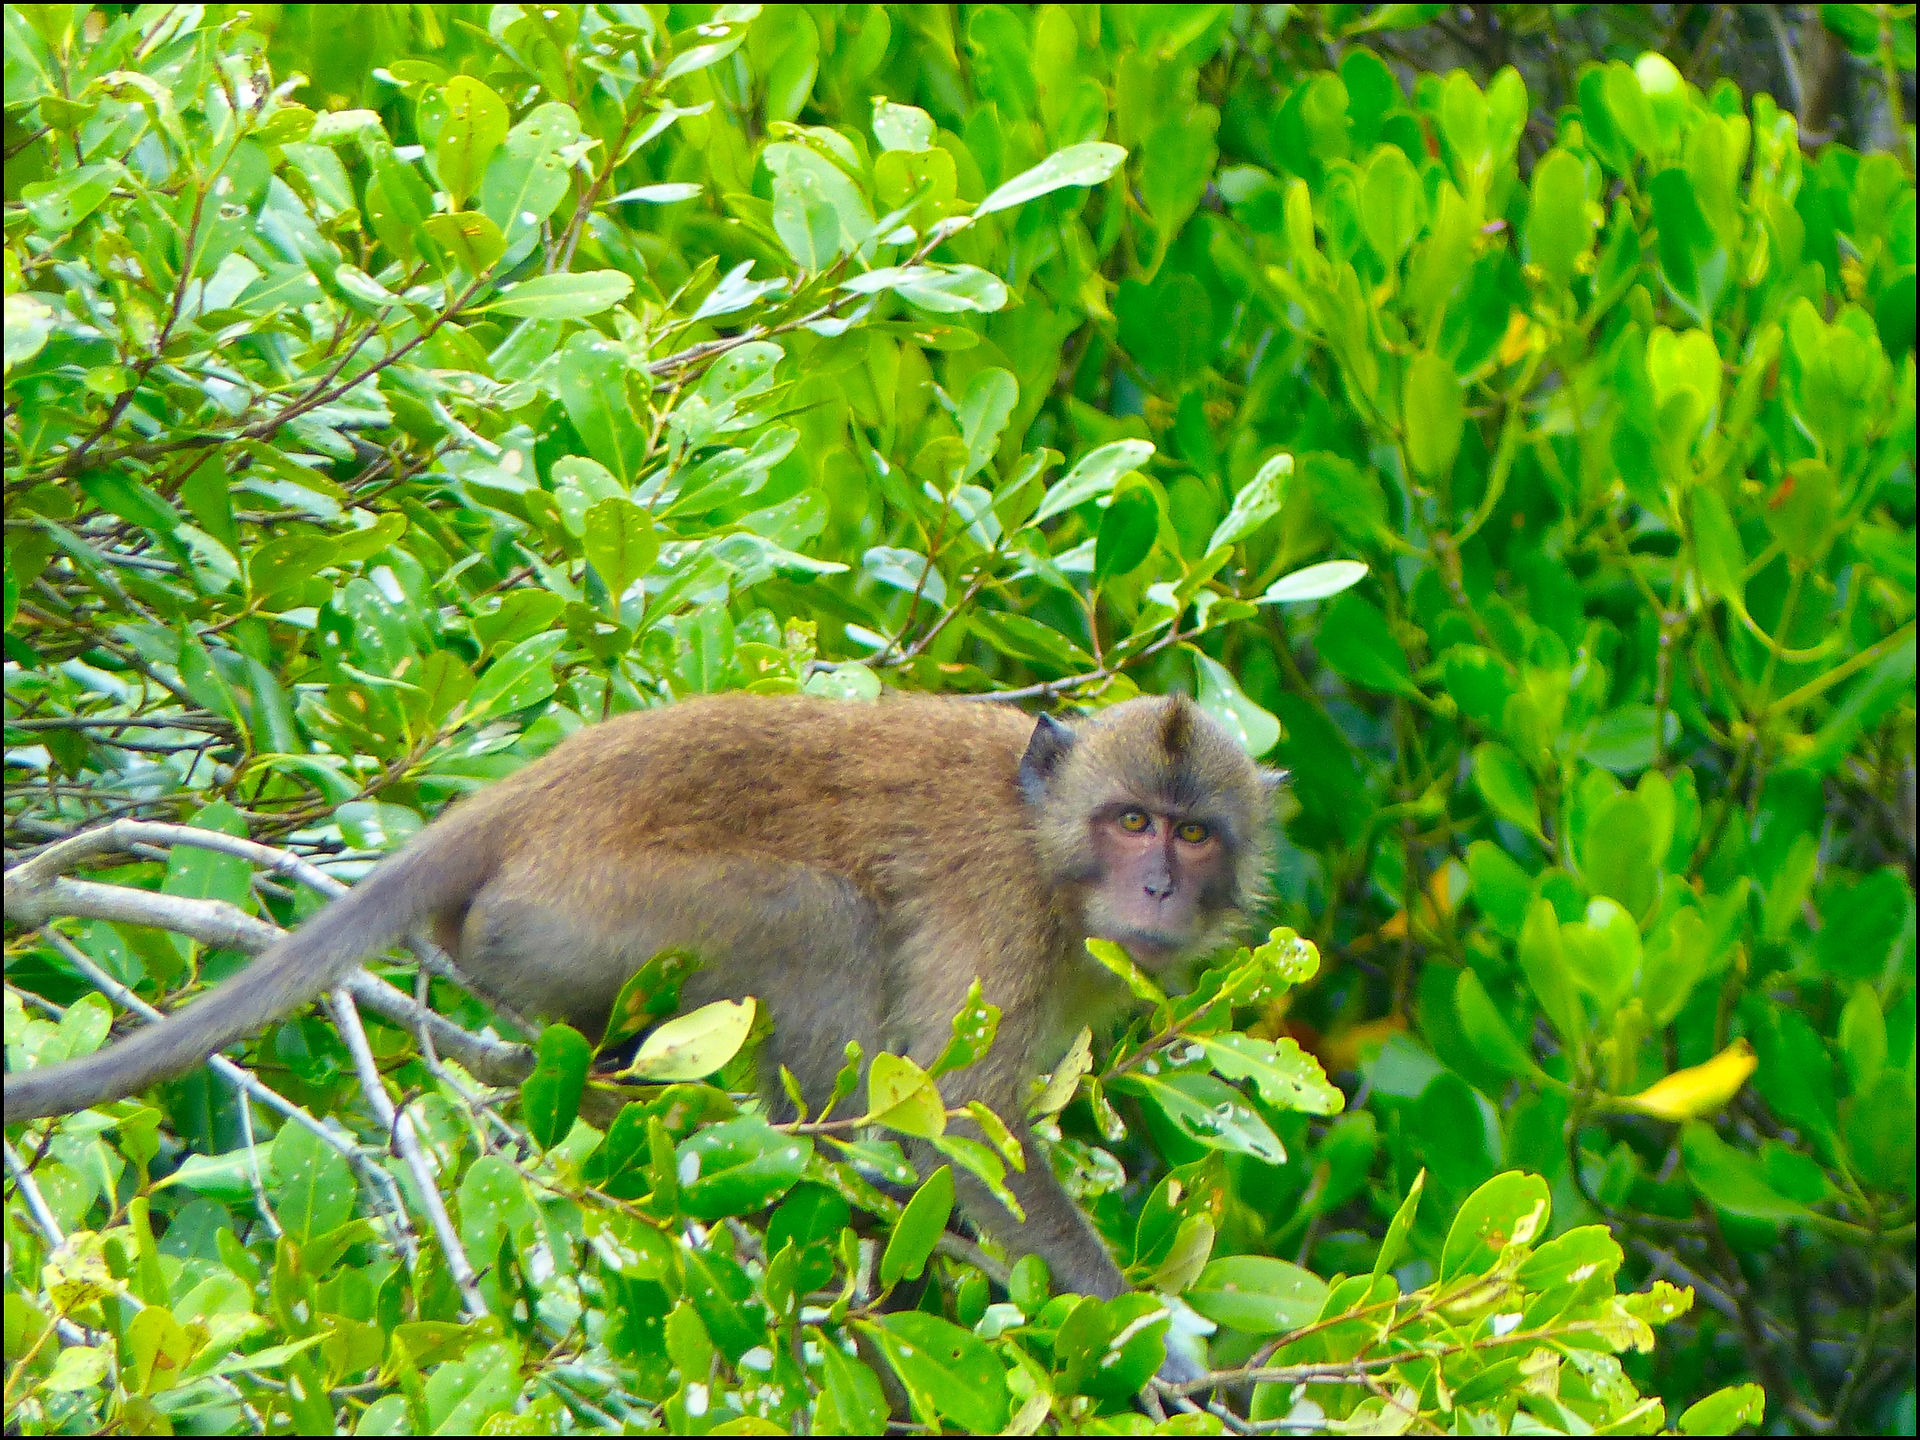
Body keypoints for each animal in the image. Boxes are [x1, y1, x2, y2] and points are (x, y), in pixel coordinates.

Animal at [6, 691, 1277, 1350]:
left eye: (1192, 834)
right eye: (1129, 822)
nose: (1155, 890)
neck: (1050, 851)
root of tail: (517, 804)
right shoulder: (1002, 905)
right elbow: (959, 1111)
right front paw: (1147, 1341)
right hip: (577, 920)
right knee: (818, 919)